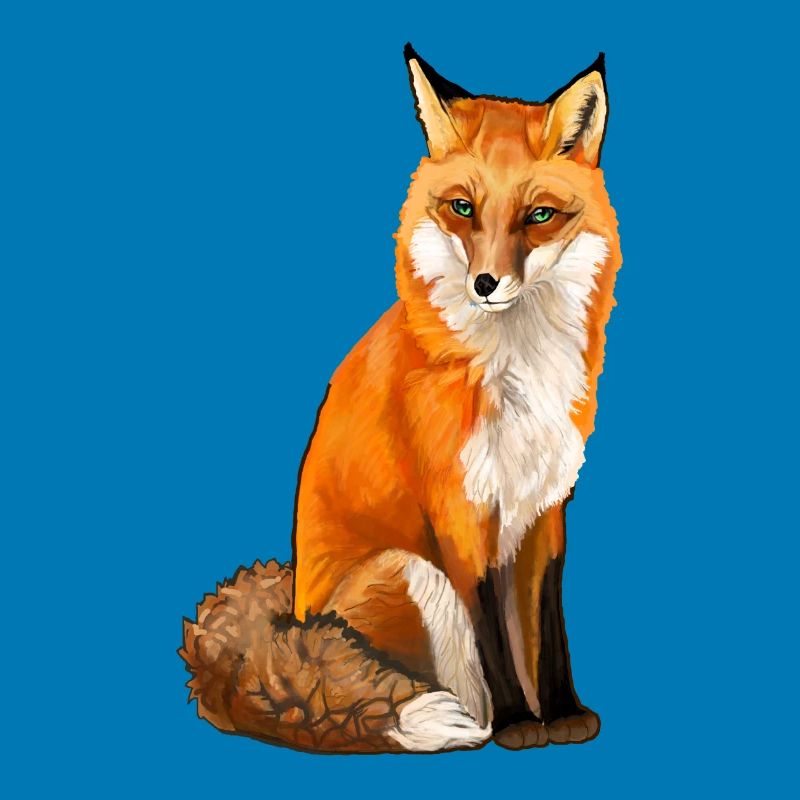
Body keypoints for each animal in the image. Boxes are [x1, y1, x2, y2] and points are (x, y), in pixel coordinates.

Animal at [181, 44, 622, 754]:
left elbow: (548, 627)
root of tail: (289, 619)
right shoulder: (458, 512)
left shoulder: (545, 506)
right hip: (412, 570)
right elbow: (494, 636)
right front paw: (521, 723)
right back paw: (471, 722)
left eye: (539, 216)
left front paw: (563, 712)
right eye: (463, 208)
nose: (486, 283)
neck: (515, 370)